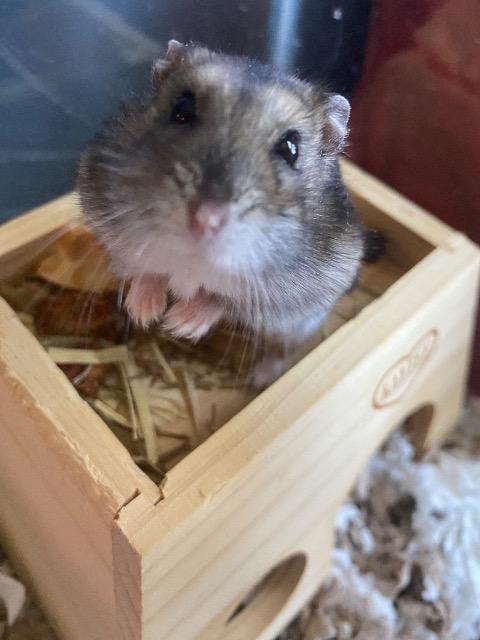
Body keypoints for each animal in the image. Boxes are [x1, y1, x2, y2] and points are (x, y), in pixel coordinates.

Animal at [77, 41, 371, 385]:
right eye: (182, 108)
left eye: (290, 148)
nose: (205, 220)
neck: (193, 263)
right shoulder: (112, 235)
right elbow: (148, 271)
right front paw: (145, 313)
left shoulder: (291, 296)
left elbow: (221, 299)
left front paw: (178, 324)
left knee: (281, 349)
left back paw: (259, 378)